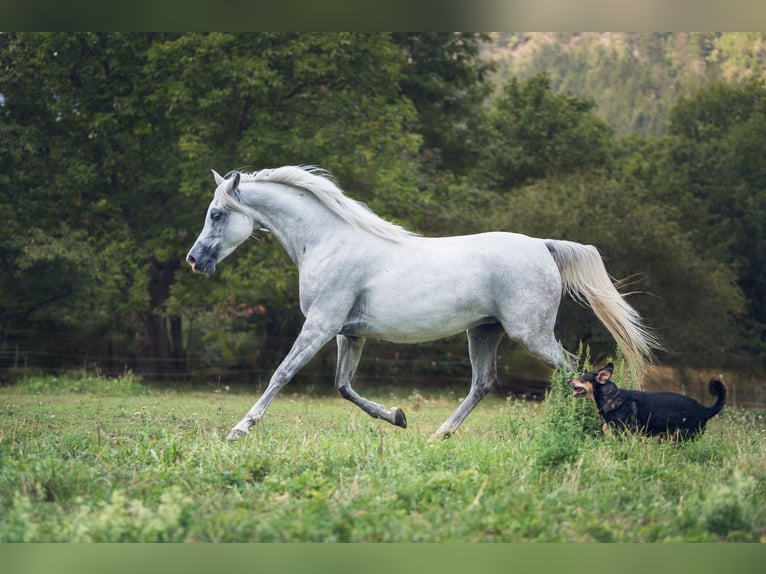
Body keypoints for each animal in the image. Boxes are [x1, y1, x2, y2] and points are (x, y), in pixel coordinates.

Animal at [572, 364, 728, 440]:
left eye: (582, 378)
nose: (568, 380)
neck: (610, 396)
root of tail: (705, 410)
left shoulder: (628, 428)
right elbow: (605, 427)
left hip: (682, 436)